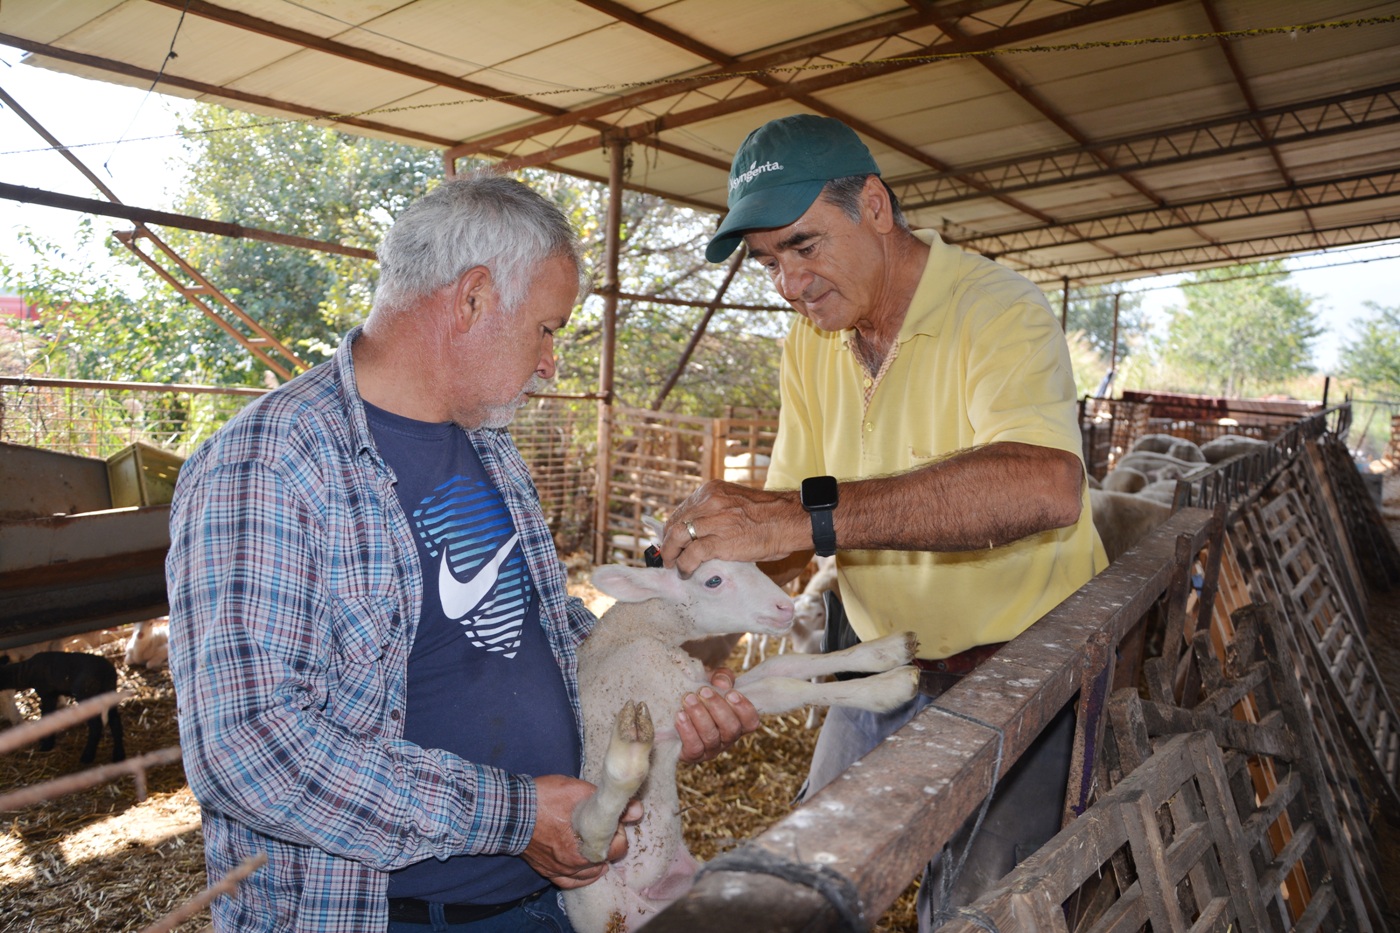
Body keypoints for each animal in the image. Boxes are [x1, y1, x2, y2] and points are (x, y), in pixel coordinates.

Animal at [562, 554, 924, 924]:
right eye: (713, 581)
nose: (785, 607)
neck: (637, 633)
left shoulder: (706, 687)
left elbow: (785, 664)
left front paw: (886, 651)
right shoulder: (662, 692)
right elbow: (779, 687)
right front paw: (888, 687)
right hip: (602, 885)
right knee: (591, 838)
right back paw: (627, 754)